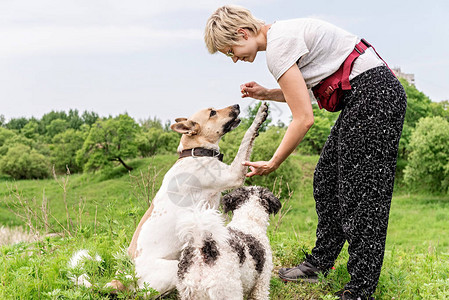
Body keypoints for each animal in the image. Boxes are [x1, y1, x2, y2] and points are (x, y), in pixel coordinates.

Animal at [117, 102, 268, 294]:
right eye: (212, 113)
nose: (237, 104)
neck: (195, 153)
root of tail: (126, 277)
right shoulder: (234, 174)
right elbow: (246, 137)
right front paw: (259, 116)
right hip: (172, 269)